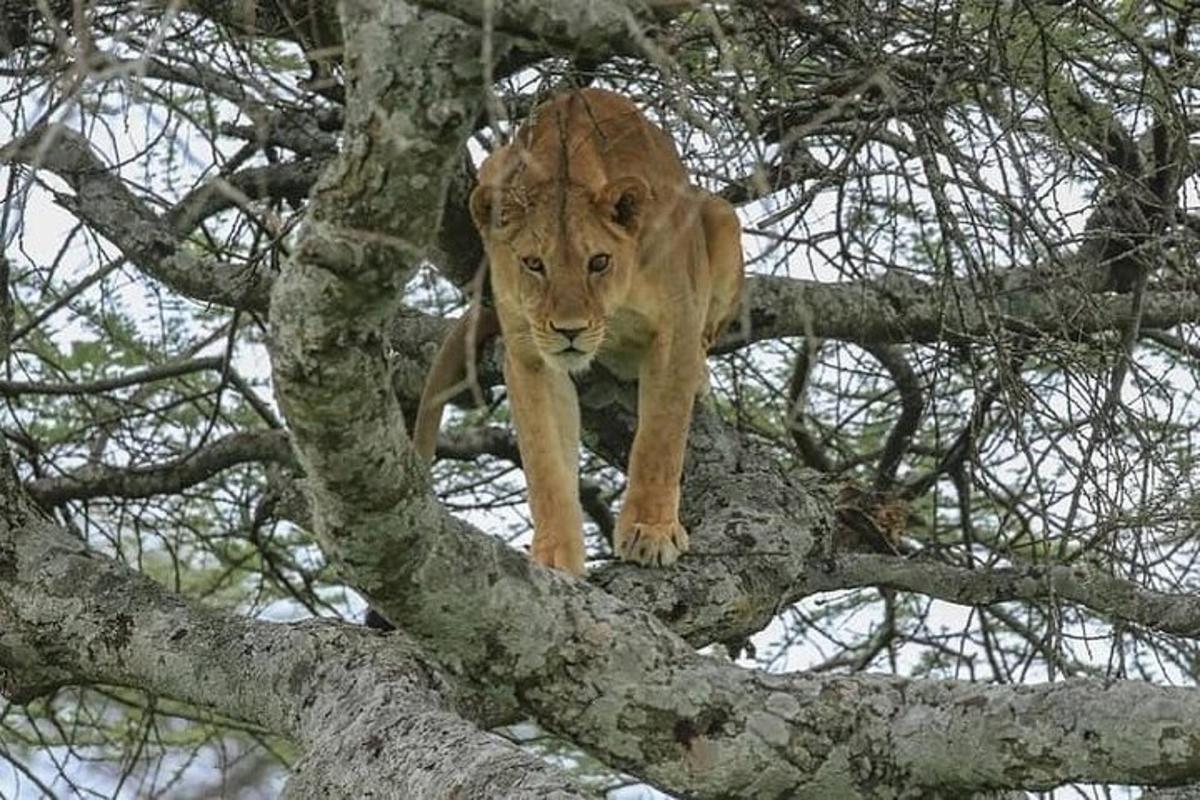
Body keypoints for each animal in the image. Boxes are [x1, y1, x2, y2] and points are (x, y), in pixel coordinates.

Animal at [417, 89, 744, 575]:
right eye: (534, 264)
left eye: (599, 262)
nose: (568, 330)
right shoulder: (530, 356)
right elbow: (545, 464)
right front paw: (554, 557)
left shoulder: (675, 326)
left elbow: (660, 440)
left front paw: (651, 531)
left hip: (722, 216)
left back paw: (700, 376)